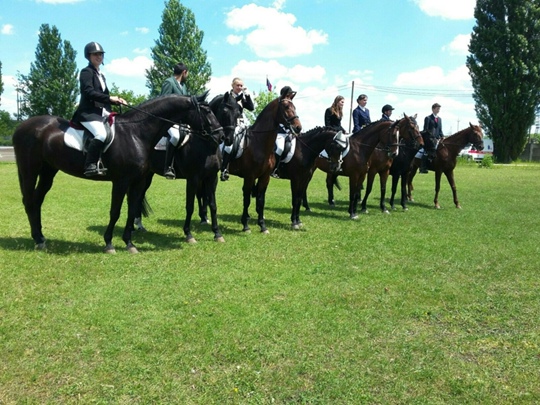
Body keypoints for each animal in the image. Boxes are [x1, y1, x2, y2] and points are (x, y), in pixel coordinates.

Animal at [12, 93, 224, 253]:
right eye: (207, 112)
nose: (221, 135)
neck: (136, 133)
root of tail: (22, 126)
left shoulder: (137, 181)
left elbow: (132, 209)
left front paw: (129, 243)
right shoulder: (122, 181)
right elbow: (115, 211)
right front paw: (109, 243)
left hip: (48, 171)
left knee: (37, 200)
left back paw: (41, 238)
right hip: (29, 170)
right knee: (29, 200)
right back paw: (38, 240)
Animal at [134, 91, 242, 243]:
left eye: (238, 112)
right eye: (225, 111)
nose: (227, 139)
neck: (205, 145)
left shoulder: (211, 177)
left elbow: (212, 204)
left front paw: (217, 233)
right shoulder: (193, 178)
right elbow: (190, 206)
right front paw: (188, 234)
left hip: (148, 174)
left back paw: (138, 225)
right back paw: (136, 225)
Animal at [226, 95, 302, 233]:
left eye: (294, 107)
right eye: (286, 107)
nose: (298, 127)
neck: (259, 143)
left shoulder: (265, 177)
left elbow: (261, 200)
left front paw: (262, 225)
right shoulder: (249, 177)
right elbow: (247, 199)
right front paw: (245, 225)